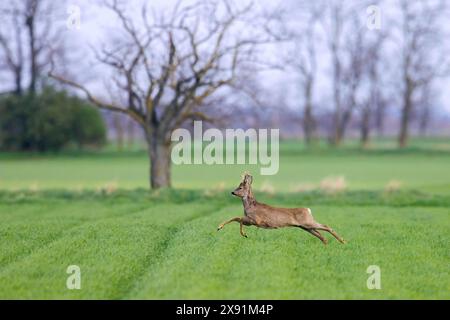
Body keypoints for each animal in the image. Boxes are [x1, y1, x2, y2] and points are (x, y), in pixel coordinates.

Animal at [216, 172, 346, 245]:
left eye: (240, 187)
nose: (232, 192)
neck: (250, 206)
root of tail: (308, 209)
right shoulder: (252, 221)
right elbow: (238, 219)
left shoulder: (255, 220)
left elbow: (238, 218)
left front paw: (239, 233)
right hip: (305, 227)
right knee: (320, 234)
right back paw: (327, 244)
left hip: (308, 223)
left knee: (326, 227)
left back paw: (343, 241)